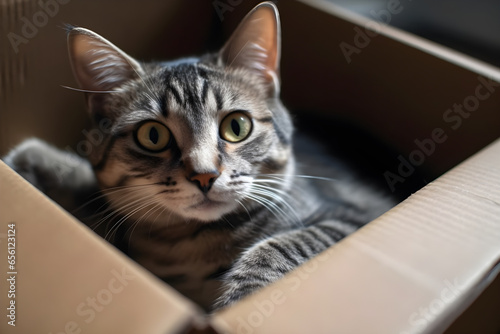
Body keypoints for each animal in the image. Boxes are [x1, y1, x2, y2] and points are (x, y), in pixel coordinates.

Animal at [1, 1, 396, 310]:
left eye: (237, 126)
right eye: (153, 135)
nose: (204, 174)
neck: (190, 244)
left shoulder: (354, 216)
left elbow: (282, 245)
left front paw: (239, 303)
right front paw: (37, 160)